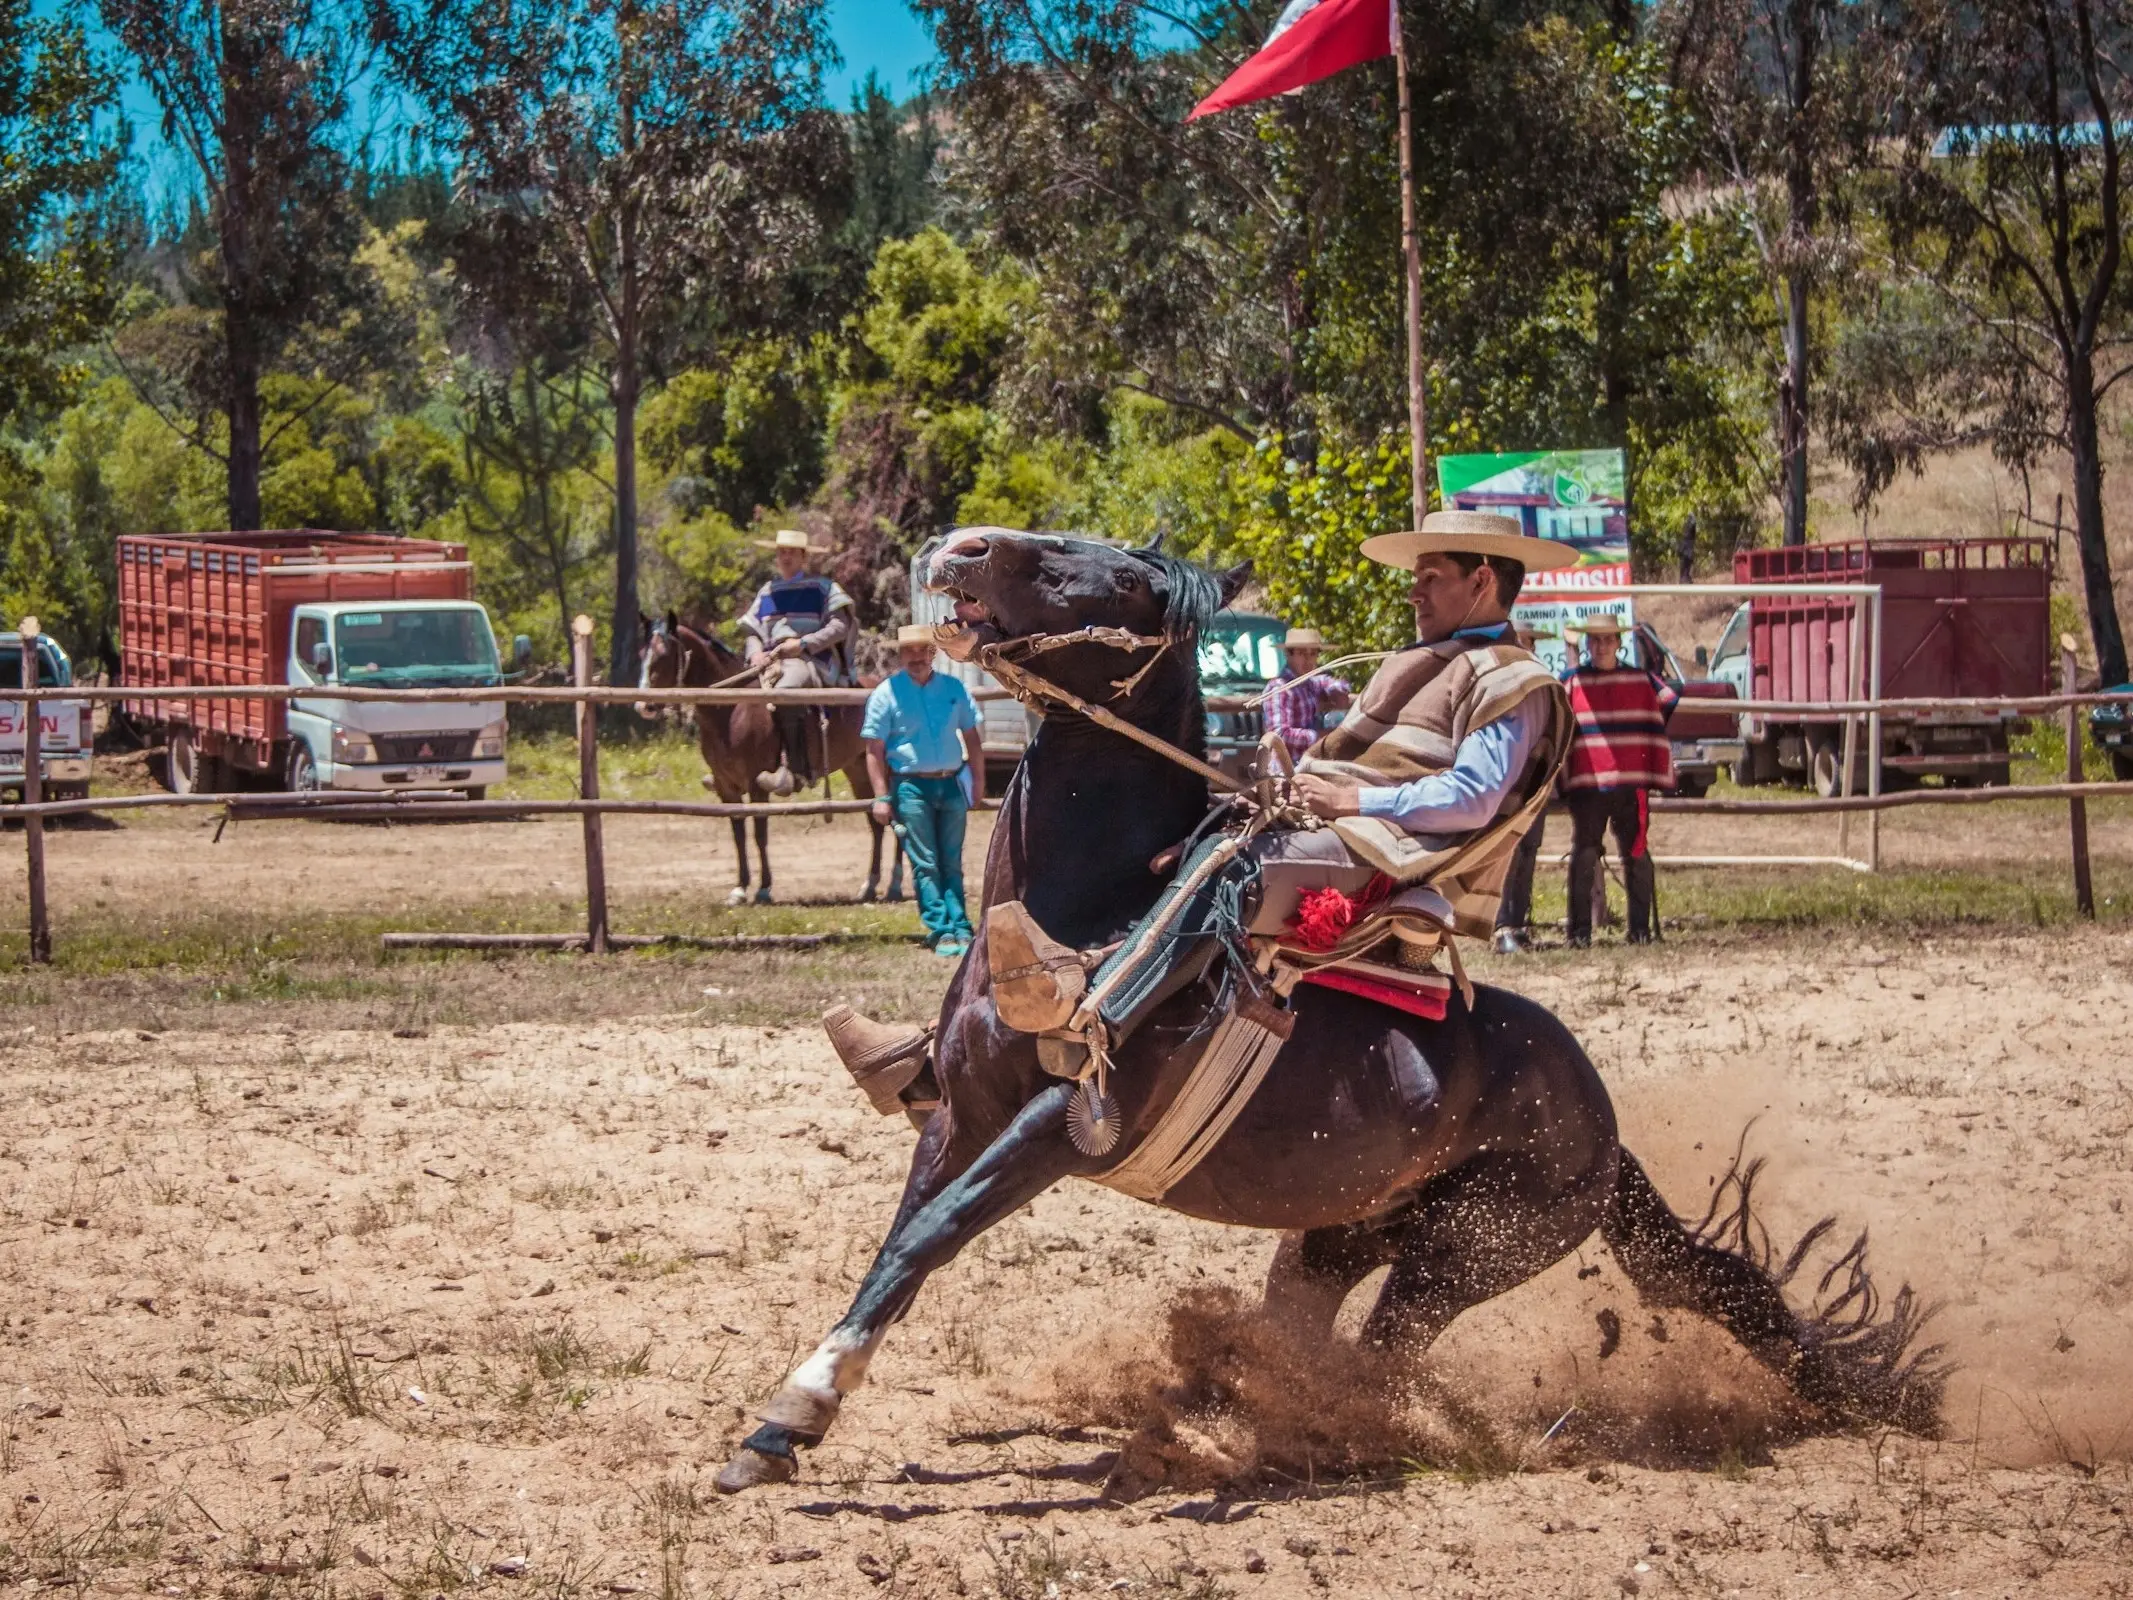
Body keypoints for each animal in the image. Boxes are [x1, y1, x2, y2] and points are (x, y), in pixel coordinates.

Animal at [627, 614, 904, 908]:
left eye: (664, 655)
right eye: (642, 654)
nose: (643, 706)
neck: (732, 709)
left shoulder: (757, 783)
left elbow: (760, 834)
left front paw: (763, 889)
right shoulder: (727, 787)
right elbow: (738, 834)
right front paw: (739, 889)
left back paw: (894, 885)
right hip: (859, 769)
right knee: (875, 821)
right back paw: (869, 885)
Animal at [712, 533, 1936, 1501]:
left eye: (1103, 571)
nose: (959, 548)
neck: (1093, 914)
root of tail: (1603, 1131)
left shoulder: (1063, 1125)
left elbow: (933, 1234)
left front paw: (794, 1409)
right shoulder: (962, 1114)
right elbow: (901, 1242)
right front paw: (790, 1418)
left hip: (1466, 1253)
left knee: (1381, 1361)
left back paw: (1304, 1437)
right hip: (1336, 1237)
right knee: (1312, 1329)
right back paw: (1239, 1409)